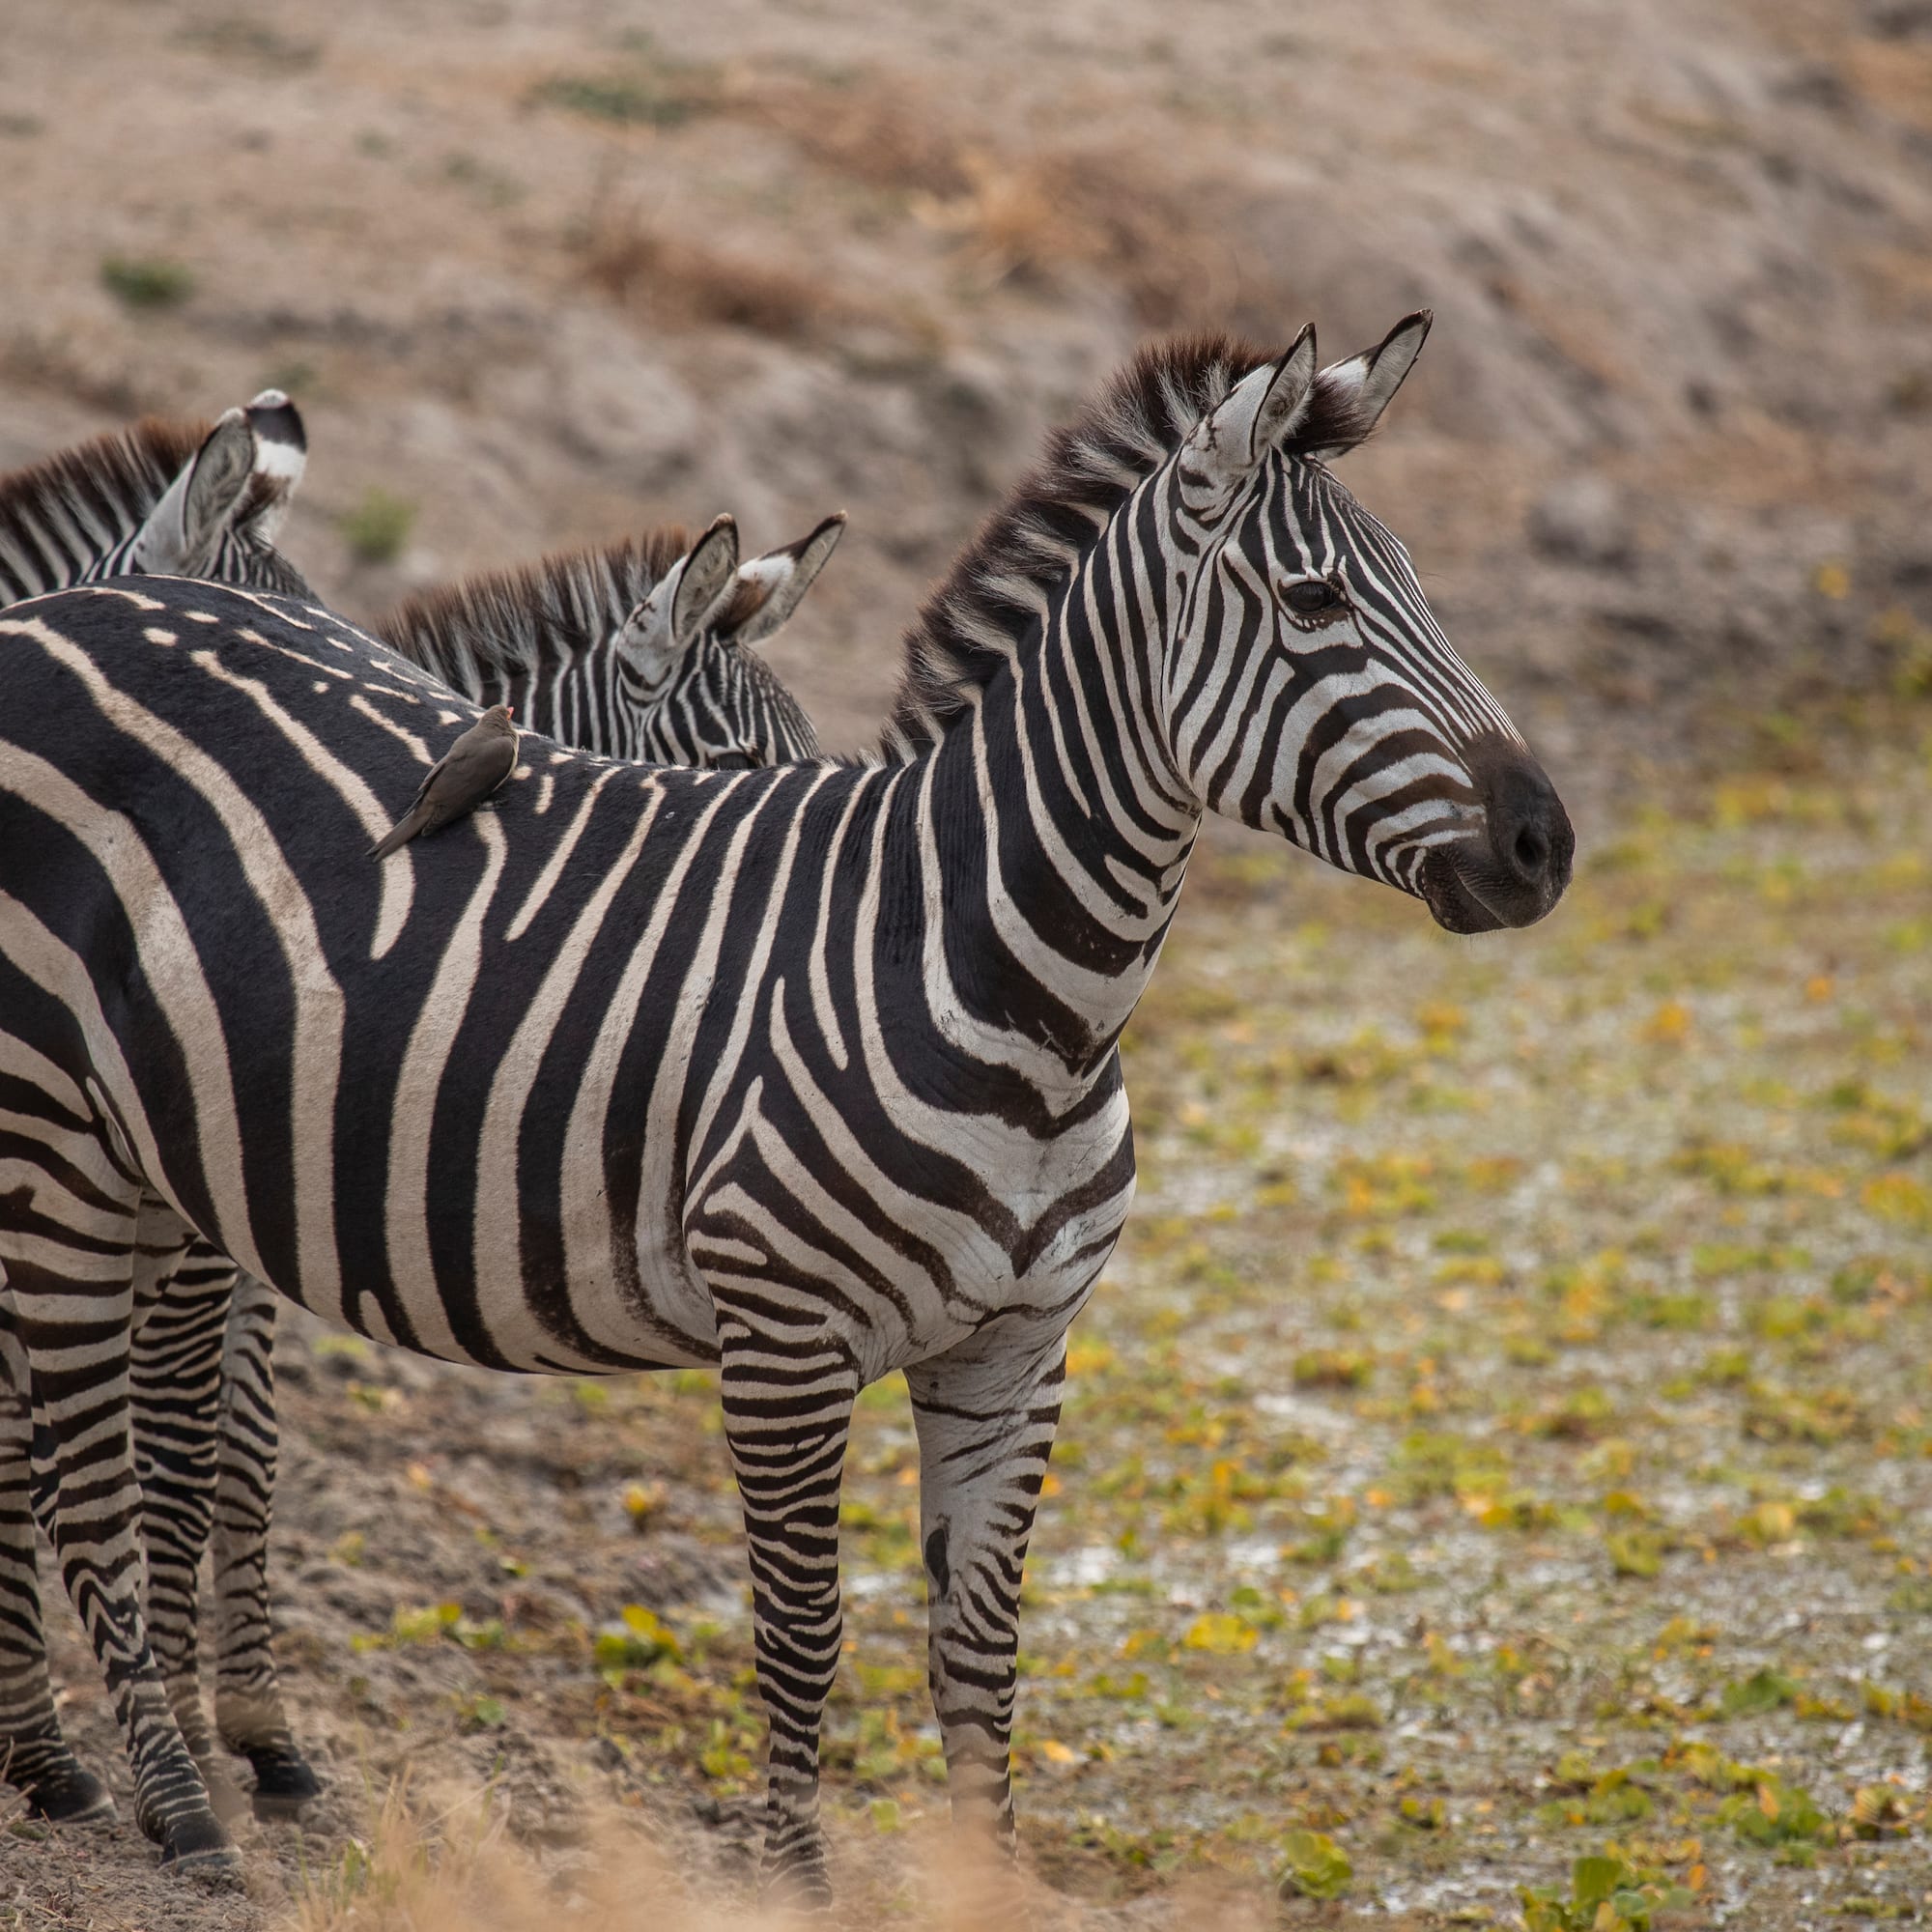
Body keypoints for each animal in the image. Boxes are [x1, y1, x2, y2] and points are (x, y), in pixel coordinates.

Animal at [0, 312, 1572, 1894]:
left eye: (1417, 586)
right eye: (1313, 602)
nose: (1544, 844)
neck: (1021, 997)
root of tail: (69, 611)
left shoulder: (1018, 1352)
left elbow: (978, 1651)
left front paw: (984, 1887)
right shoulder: (783, 1343)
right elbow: (805, 1632)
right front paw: (797, 1882)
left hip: (153, 1173)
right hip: (54, 1148)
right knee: (91, 1473)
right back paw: (174, 1811)